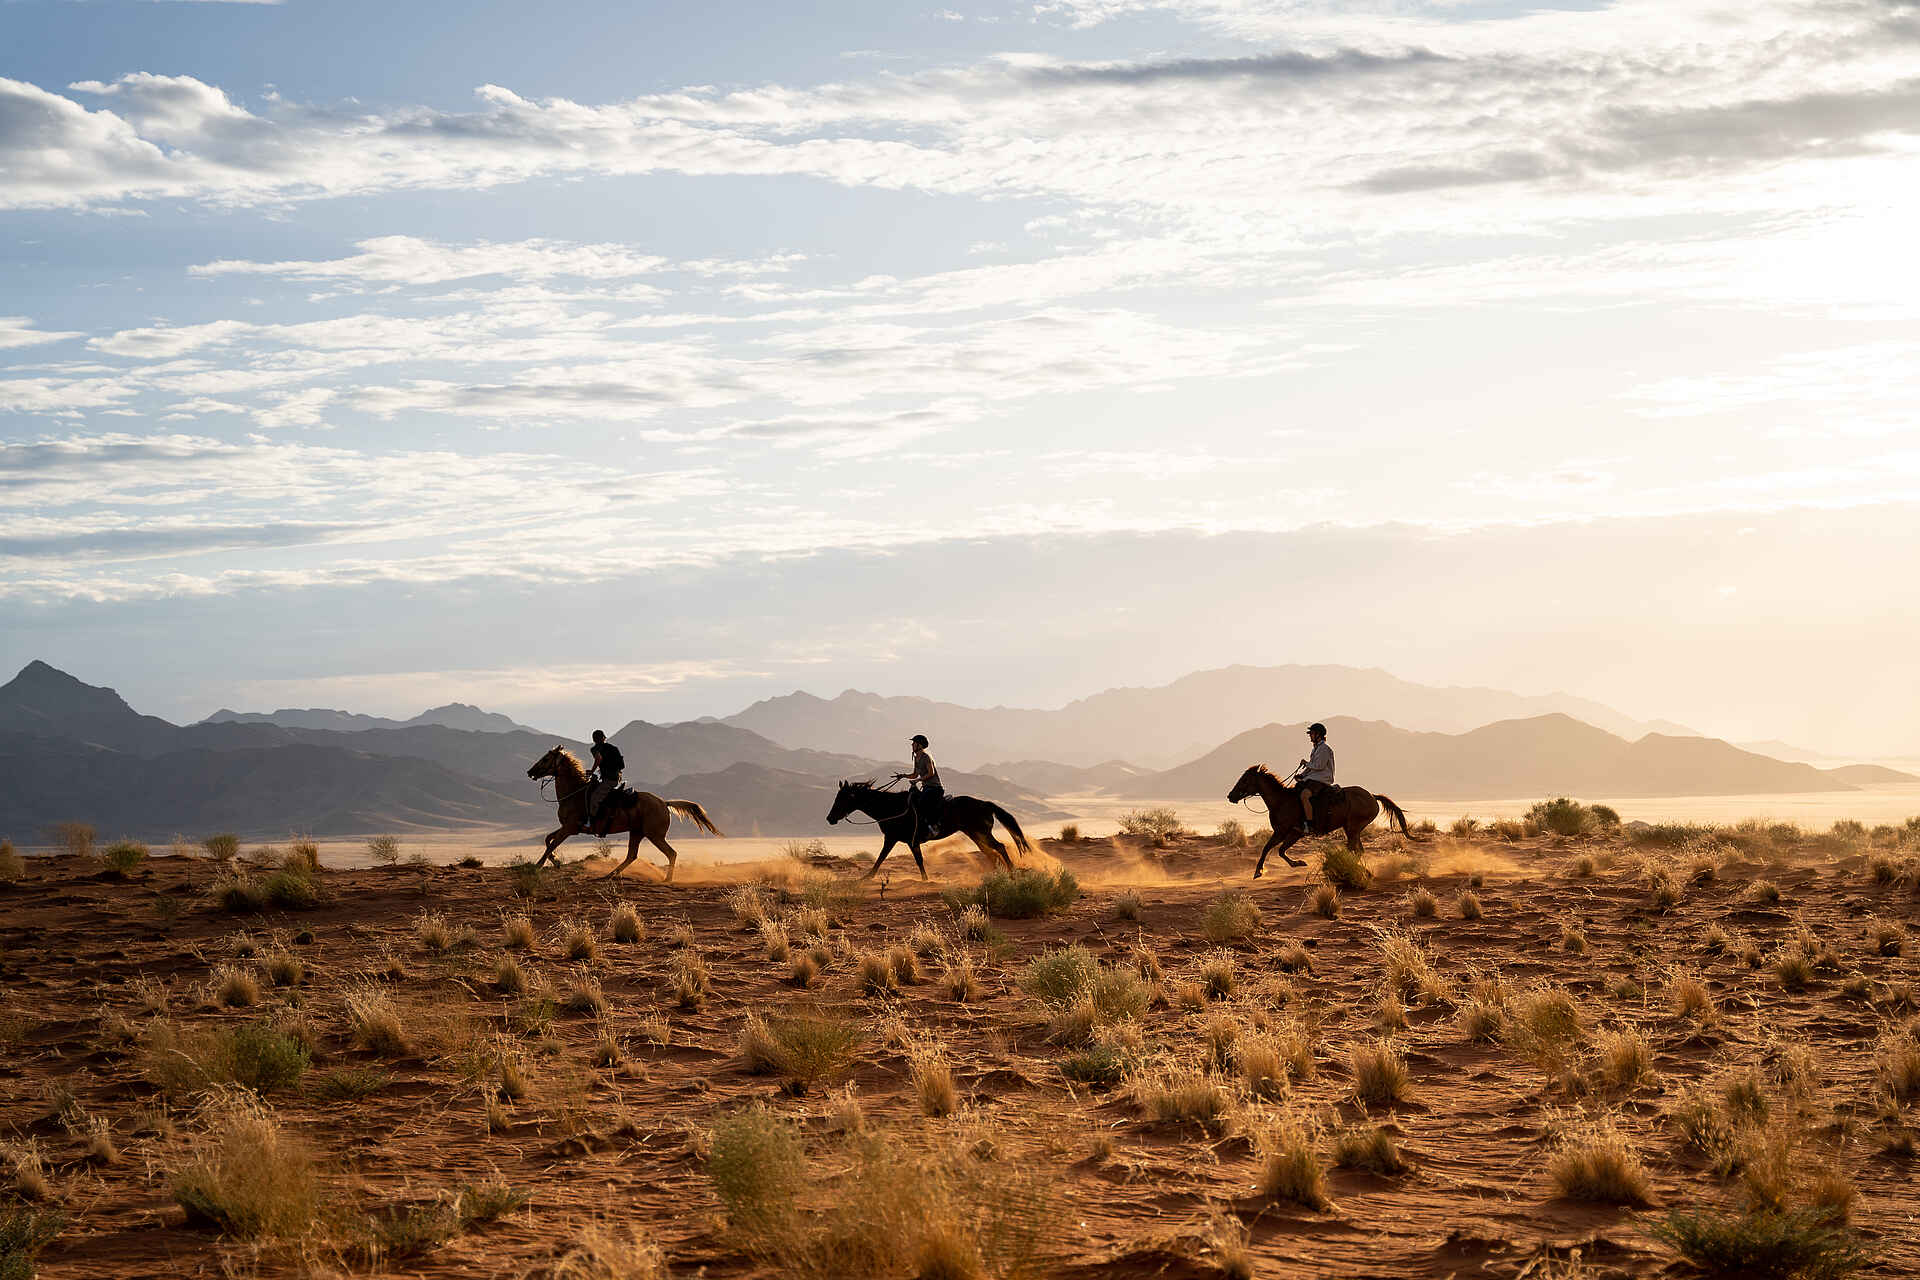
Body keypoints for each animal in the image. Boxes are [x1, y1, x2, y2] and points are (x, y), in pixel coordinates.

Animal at [526, 746, 722, 883]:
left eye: (545, 759)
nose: (530, 772)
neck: (574, 793)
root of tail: (664, 803)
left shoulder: (570, 828)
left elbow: (551, 844)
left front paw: (538, 866)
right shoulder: (568, 827)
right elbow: (548, 840)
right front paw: (556, 862)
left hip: (654, 835)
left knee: (671, 854)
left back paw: (667, 878)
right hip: (636, 832)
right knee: (632, 856)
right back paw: (609, 875)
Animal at [825, 780, 1035, 880]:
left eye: (842, 799)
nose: (829, 819)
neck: (891, 807)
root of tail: (985, 804)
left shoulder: (903, 840)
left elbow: (900, 859)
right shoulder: (896, 839)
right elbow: (885, 858)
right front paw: (867, 877)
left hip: (981, 833)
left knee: (999, 848)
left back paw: (1011, 873)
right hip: (976, 834)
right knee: (990, 852)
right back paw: (996, 874)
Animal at [1226, 763, 1419, 879]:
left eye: (1245, 779)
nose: (1230, 796)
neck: (1282, 801)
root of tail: (1372, 796)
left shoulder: (1282, 832)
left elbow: (1267, 848)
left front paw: (1258, 871)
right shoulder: (1294, 833)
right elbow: (1280, 851)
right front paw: (1298, 863)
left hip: (1352, 827)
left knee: (1354, 849)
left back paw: (1342, 868)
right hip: (1352, 829)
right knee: (1357, 849)